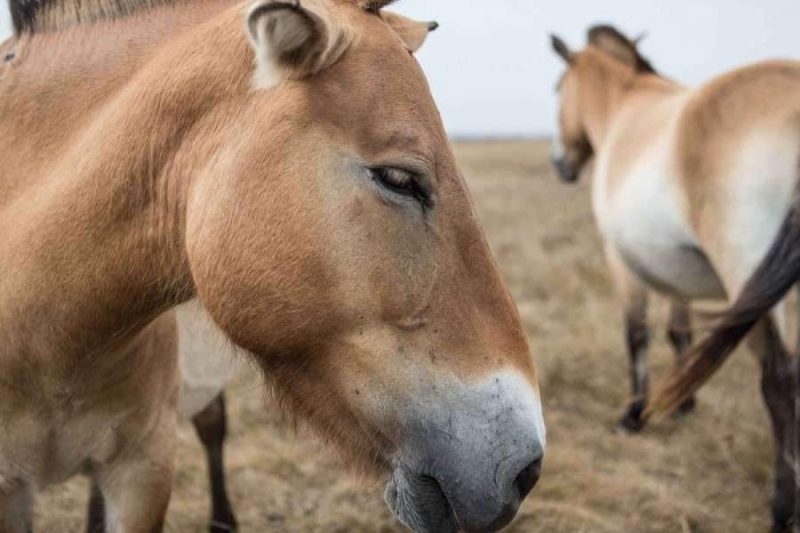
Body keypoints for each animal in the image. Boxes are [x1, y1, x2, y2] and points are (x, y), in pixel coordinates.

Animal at [552, 26, 796, 532]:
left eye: (557, 88)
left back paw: (783, 509)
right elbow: (682, 336)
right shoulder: (680, 276)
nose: (561, 165)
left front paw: (634, 414)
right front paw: (684, 404)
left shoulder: (621, 263)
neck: (625, 111)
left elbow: (637, 335)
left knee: (779, 378)